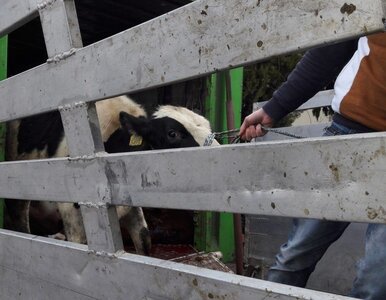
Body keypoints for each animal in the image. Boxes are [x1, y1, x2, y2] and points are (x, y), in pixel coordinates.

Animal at [4, 96, 219, 255]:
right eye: (172, 133)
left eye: (209, 127)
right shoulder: (70, 211)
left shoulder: (129, 204)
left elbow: (144, 238)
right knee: (19, 216)